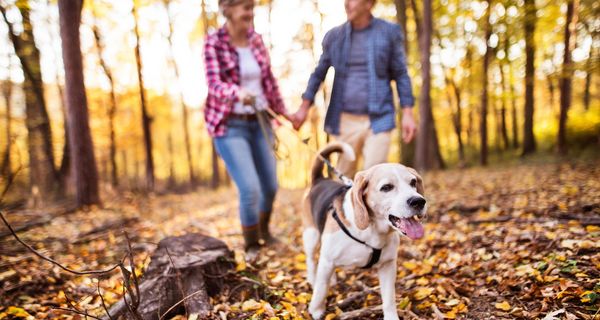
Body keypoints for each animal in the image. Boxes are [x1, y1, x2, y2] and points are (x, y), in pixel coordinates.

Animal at [300, 142, 426, 320]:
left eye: (413, 182)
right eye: (387, 187)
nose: (419, 201)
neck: (372, 231)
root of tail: (319, 179)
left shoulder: (388, 265)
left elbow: (389, 298)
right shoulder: (328, 260)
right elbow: (321, 288)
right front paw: (316, 310)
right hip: (311, 236)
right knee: (311, 260)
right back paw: (313, 279)